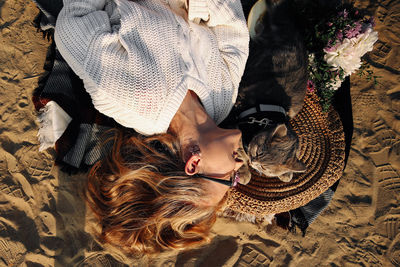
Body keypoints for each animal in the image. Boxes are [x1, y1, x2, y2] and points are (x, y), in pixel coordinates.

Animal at [225, 0, 306, 183]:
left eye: (265, 168)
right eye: (256, 152)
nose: (254, 161)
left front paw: (286, 174)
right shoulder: (237, 128)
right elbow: (240, 154)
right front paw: (244, 171)